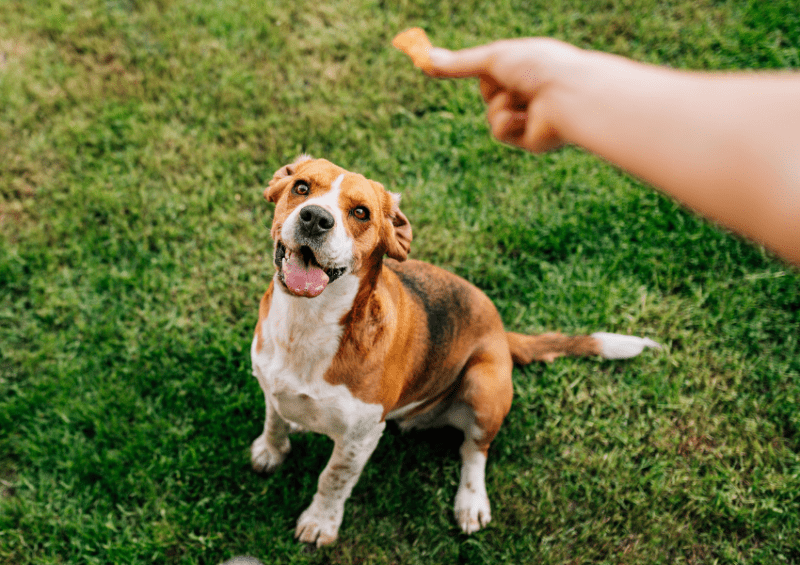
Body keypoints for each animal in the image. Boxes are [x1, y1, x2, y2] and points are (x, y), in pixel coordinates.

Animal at [248, 155, 656, 548]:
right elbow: (274, 419)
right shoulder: (270, 384)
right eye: (302, 188)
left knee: (474, 451)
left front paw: (320, 523)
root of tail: (501, 332)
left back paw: (471, 502)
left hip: (483, 386)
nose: (316, 218)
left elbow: (333, 479)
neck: (307, 323)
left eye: (361, 212)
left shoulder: (360, 438)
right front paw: (271, 450)